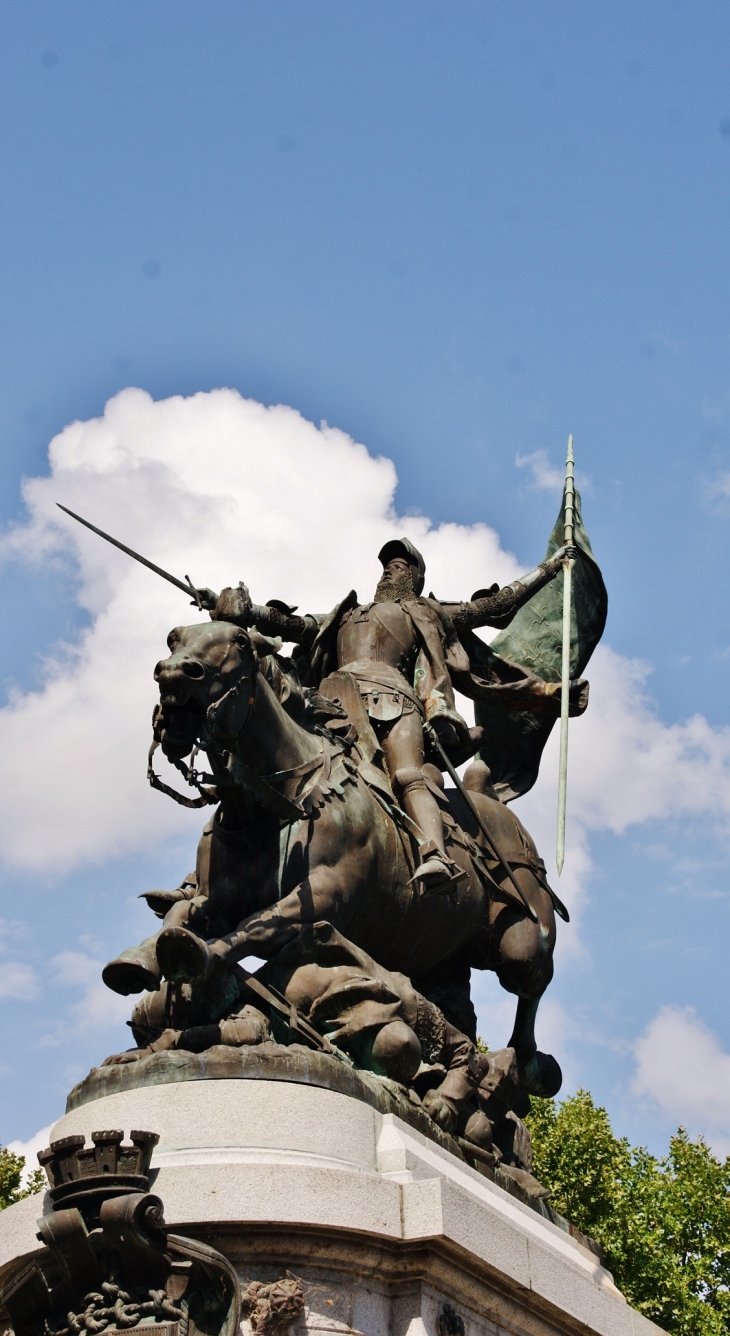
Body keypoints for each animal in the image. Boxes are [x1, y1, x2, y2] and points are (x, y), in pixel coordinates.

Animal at [100, 614, 556, 1095]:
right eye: (174, 638)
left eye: (240, 641)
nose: (174, 673)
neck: (271, 802)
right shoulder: (215, 900)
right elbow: (183, 915)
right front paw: (141, 962)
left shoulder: (325, 893)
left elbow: (254, 927)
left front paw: (194, 960)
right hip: (441, 961)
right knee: (456, 1014)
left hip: (521, 945)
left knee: (530, 991)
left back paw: (521, 1066)